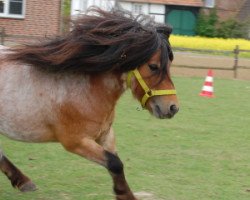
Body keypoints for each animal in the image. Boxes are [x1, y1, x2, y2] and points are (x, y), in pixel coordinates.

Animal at [0, 8, 180, 200]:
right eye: (153, 66)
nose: (173, 107)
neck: (84, 89)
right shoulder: (76, 141)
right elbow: (114, 163)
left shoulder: (105, 135)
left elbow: (116, 163)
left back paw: (22, 181)